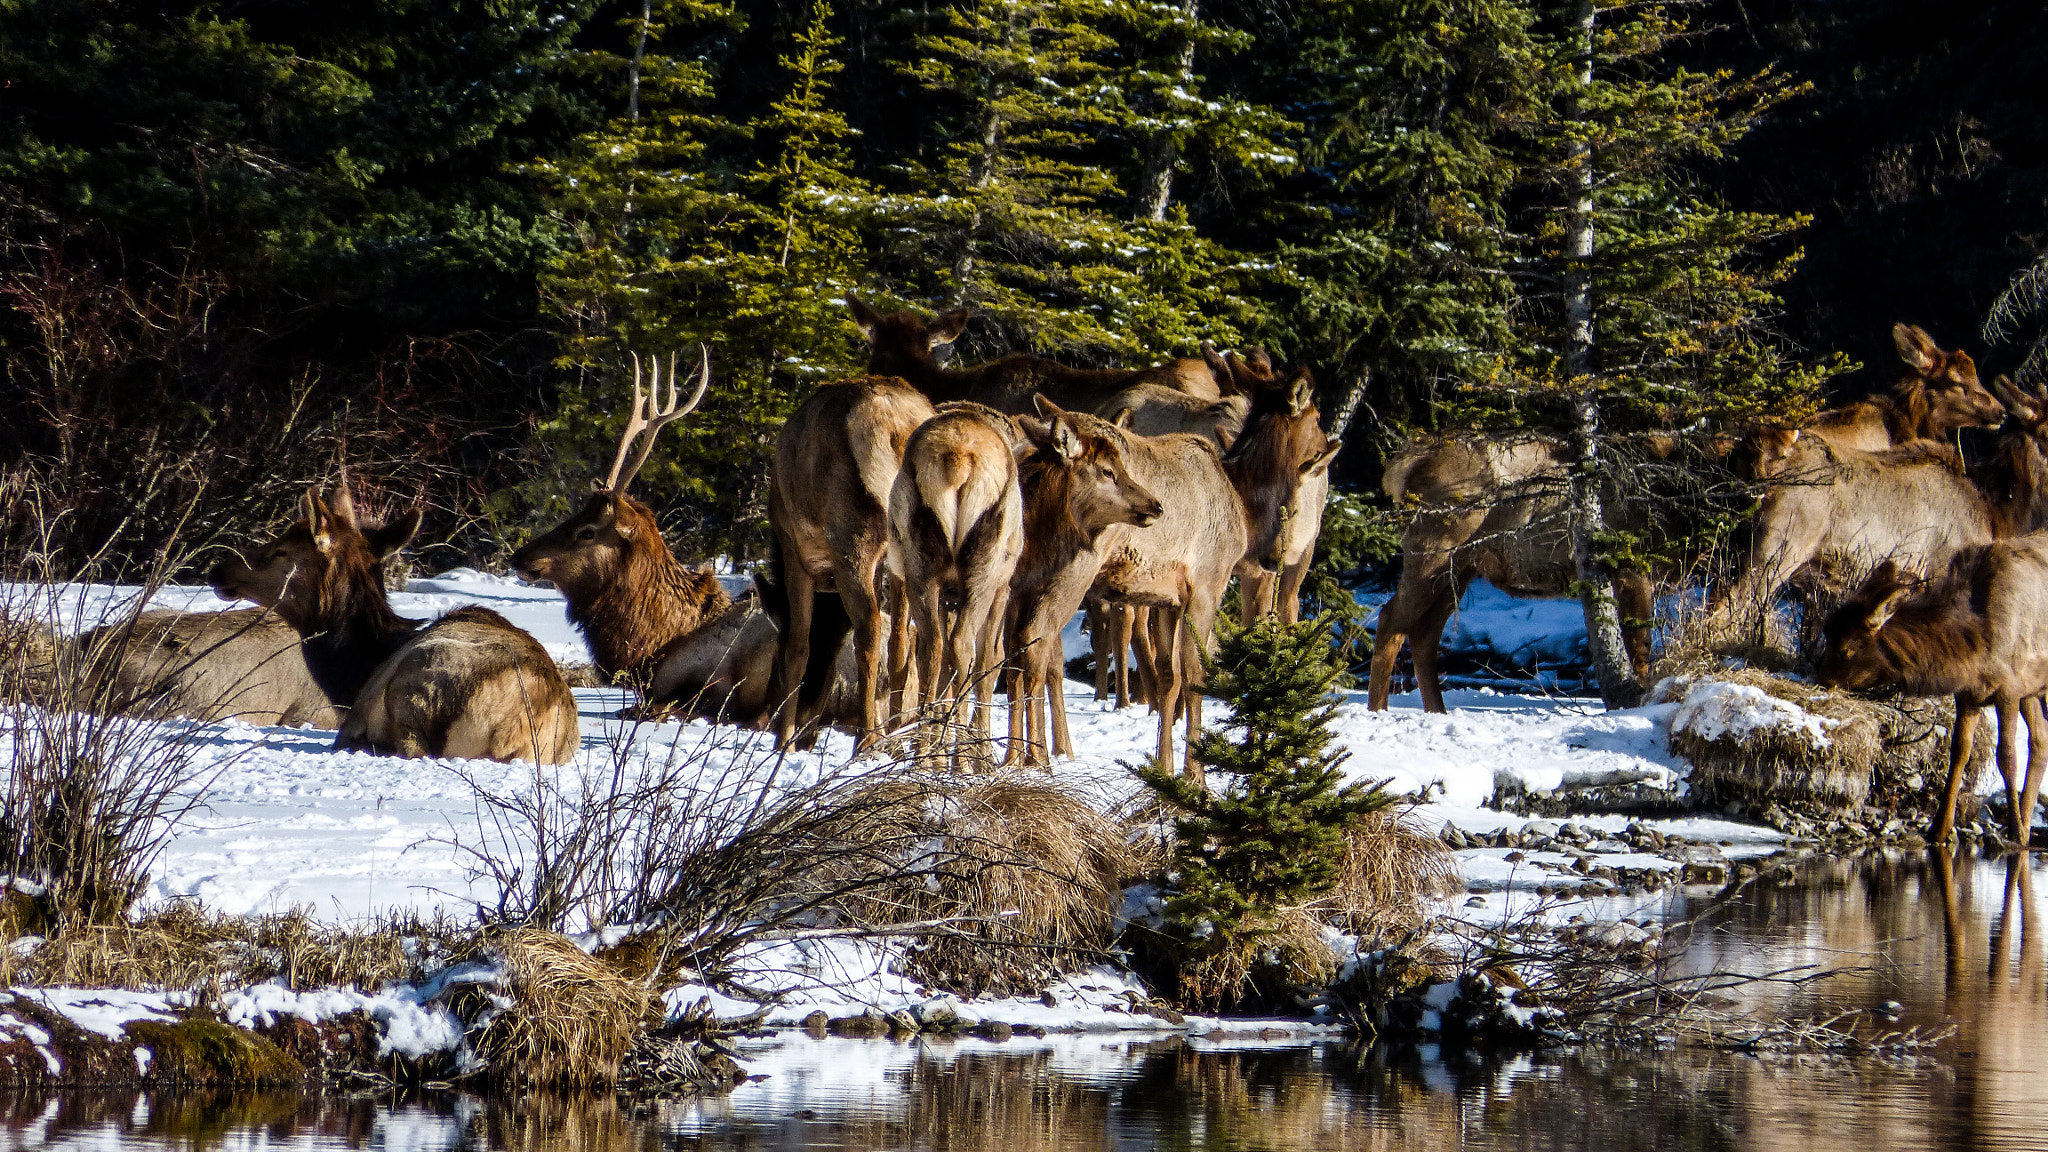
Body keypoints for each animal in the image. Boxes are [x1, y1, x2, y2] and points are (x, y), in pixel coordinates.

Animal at [211, 487, 581, 764]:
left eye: (281, 550)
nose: (219, 568)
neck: (353, 674)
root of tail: (513, 731)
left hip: (417, 681)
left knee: (411, 748)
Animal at [767, 375, 936, 749]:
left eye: (772, 662)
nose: (806, 734)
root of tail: (893, 422)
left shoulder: (794, 553)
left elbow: (799, 646)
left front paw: (783, 741)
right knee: (920, 634)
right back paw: (915, 736)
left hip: (851, 533)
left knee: (869, 628)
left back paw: (868, 739)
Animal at [886, 402, 1026, 745]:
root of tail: (958, 459)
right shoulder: (1003, 588)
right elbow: (992, 660)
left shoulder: (945, 596)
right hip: (984, 567)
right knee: (963, 647)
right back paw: (964, 750)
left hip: (920, 568)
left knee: (931, 649)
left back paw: (923, 748)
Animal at [1816, 544, 2048, 845]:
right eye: (1827, 634)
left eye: (1847, 647)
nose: (1820, 681)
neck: (1975, 647)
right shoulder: (1969, 694)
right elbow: (1959, 753)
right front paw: (1940, 828)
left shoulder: (2010, 688)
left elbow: (2007, 757)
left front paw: (2016, 832)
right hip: (2035, 692)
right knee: (2041, 742)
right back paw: (2029, 822)